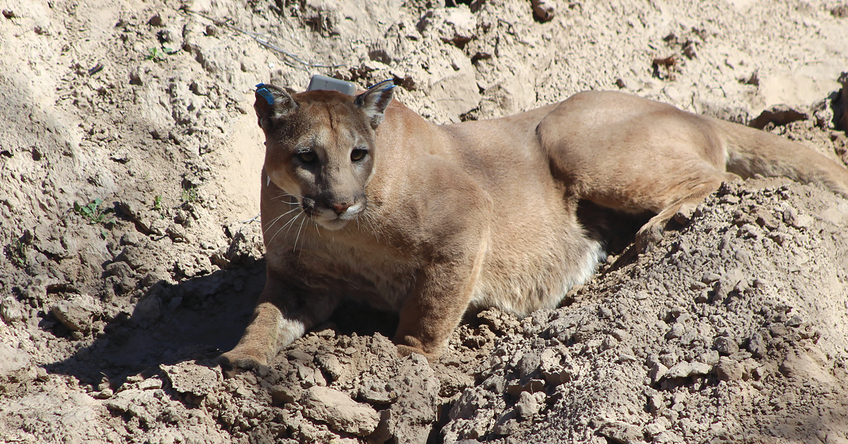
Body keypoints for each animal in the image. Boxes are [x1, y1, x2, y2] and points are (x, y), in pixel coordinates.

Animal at [217, 79, 848, 373]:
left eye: (358, 154)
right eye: (307, 156)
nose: (340, 202)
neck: (342, 235)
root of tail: (685, 108)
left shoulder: (466, 220)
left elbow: (431, 305)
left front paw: (405, 360)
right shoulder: (300, 283)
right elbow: (266, 315)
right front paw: (242, 358)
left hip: (570, 139)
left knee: (714, 176)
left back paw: (654, 232)